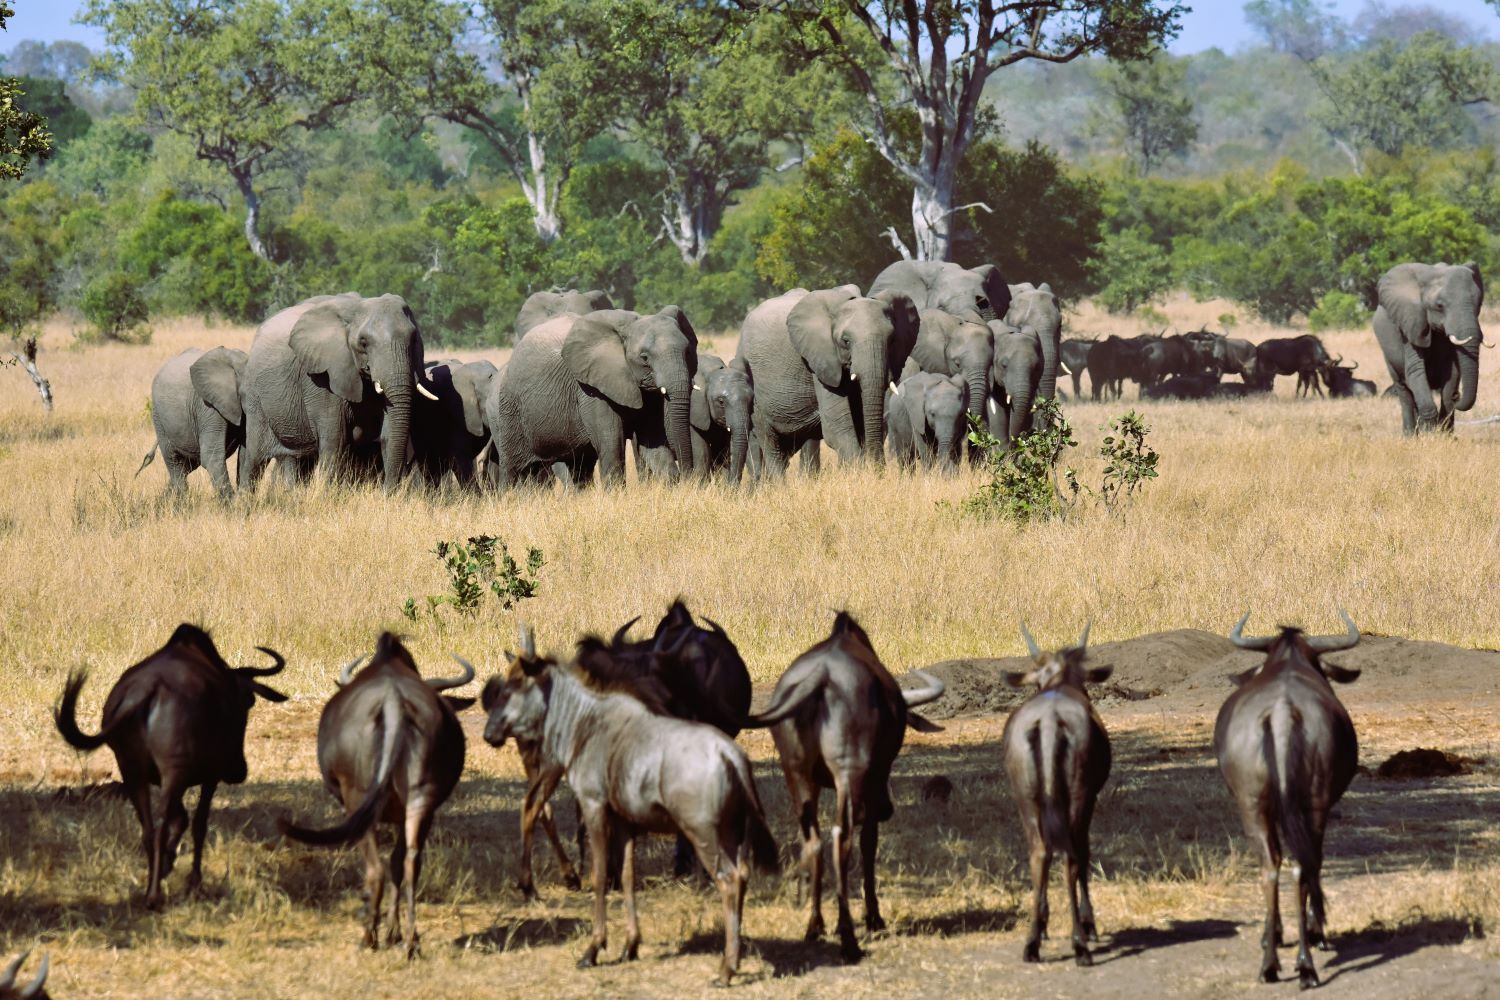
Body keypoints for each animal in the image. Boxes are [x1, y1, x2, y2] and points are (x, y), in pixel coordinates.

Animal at [240, 293, 437, 492]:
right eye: (363, 342)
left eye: (414, 339)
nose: (387, 492)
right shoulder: (321, 377)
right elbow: (335, 440)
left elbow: (389, 435)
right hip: (255, 396)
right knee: (255, 457)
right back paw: (246, 497)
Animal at [490, 307, 698, 488]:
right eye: (644, 357)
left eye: (688, 352)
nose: (689, 478)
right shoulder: (590, 390)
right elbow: (611, 445)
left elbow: (654, 443)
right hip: (510, 407)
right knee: (513, 468)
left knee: (579, 467)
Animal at [737, 286, 919, 475]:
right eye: (846, 341)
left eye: (892, 340)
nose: (879, 468)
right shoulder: (821, 359)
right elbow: (836, 427)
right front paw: (860, 474)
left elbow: (858, 420)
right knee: (770, 442)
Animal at [1374, 262, 1484, 434]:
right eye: (1439, 305)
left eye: (1479, 304)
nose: (1457, 395)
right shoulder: (1411, 324)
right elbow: (1415, 371)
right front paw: (1430, 435)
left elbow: (1452, 373)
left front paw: (1445, 435)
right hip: (1387, 355)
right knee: (1404, 392)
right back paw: (1410, 435)